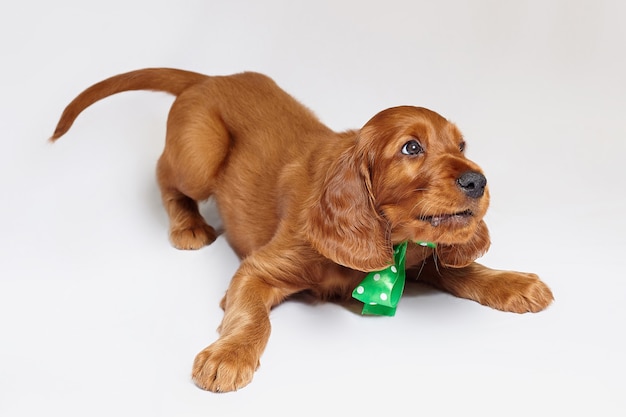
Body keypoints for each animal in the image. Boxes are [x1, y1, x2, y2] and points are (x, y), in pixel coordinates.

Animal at [52, 67, 552, 390]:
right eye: (411, 147)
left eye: (462, 145)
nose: (478, 181)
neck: (389, 237)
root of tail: (209, 78)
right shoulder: (256, 270)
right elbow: (252, 317)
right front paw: (228, 356)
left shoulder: (418, 255)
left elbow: (461, 269)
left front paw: (515, 283)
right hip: (200, 154)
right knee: (162, 174)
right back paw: (187, 223)